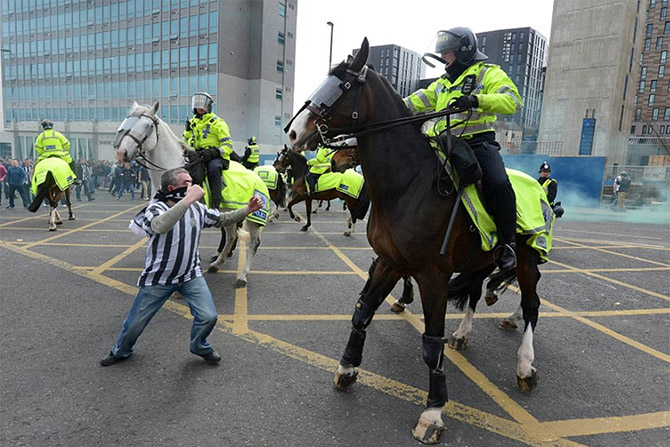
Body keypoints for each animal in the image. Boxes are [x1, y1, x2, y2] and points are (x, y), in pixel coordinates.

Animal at [114, 102, 264, 288]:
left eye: (147, 126)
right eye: (126, 121)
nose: (121, 153)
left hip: (253, 218)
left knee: (253, 243)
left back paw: (242, 276)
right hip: (228, 211)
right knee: (231, 236)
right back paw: (216, 264)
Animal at [288, 38, 544, 444]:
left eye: (344, 86)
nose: (294, 133)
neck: (409, 185)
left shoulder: (432, 275)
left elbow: (430, 342)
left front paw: (433, 411)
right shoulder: (390, 262)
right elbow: (362, 313)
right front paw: (347, 368)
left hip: (526, 259)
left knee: (532, 305)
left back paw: (524, 366)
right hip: (479, 259)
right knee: (476, 293)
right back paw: (465, 332)